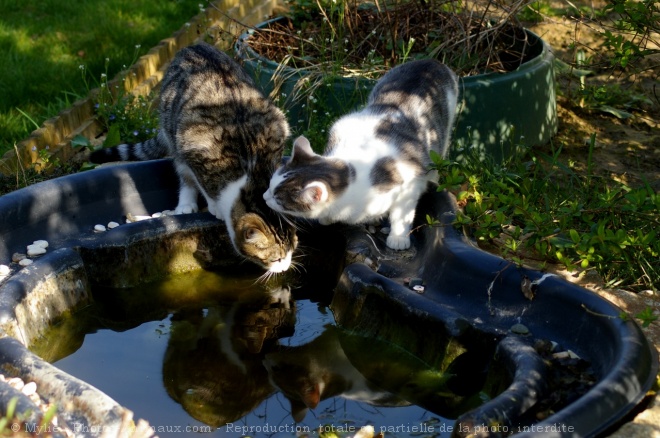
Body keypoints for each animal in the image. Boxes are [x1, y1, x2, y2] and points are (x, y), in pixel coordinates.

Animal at [91, 42, 298, 274]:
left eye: (292, 249)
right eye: (275, 258)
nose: (286, 267)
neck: (254, 173)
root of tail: (195, 44)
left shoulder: (278, 129)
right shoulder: (196, 151)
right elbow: (203, 185)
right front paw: (215, 207)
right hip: (173, 131)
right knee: (183, 173)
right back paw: (186, 204)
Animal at [260, 58, 456, 250]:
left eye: (278, 199)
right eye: (270, 185)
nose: (264, 197)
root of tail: (430, 61)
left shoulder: (410, 185)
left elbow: (401, 215)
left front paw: (398, 238)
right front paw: (329, 218)